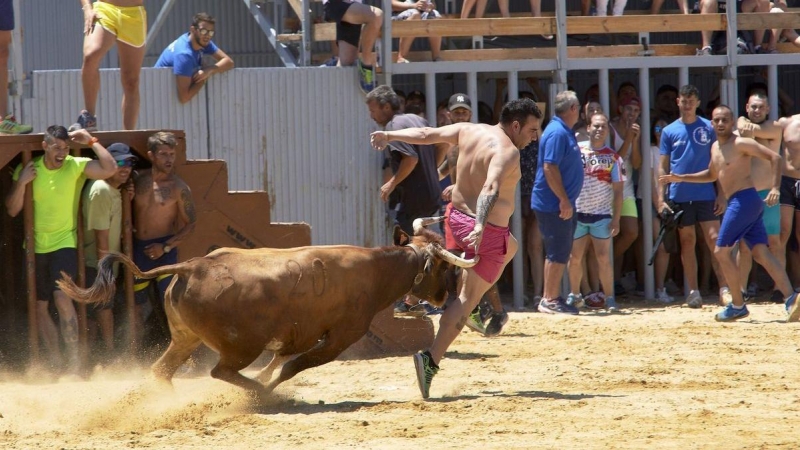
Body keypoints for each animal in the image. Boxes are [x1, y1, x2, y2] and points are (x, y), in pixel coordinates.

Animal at [62, 220, 478, 400]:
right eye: (441, 268)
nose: (445, 295)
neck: (373, 270)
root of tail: (192, 266)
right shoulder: (340, 338)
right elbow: (292, 366)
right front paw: (272, 386)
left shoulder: (302, 335)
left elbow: (281, 359)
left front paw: (268, 378)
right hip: (239, 346)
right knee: (220, 371)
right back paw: (264, 395)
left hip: (184, 338)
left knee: (162, 370)